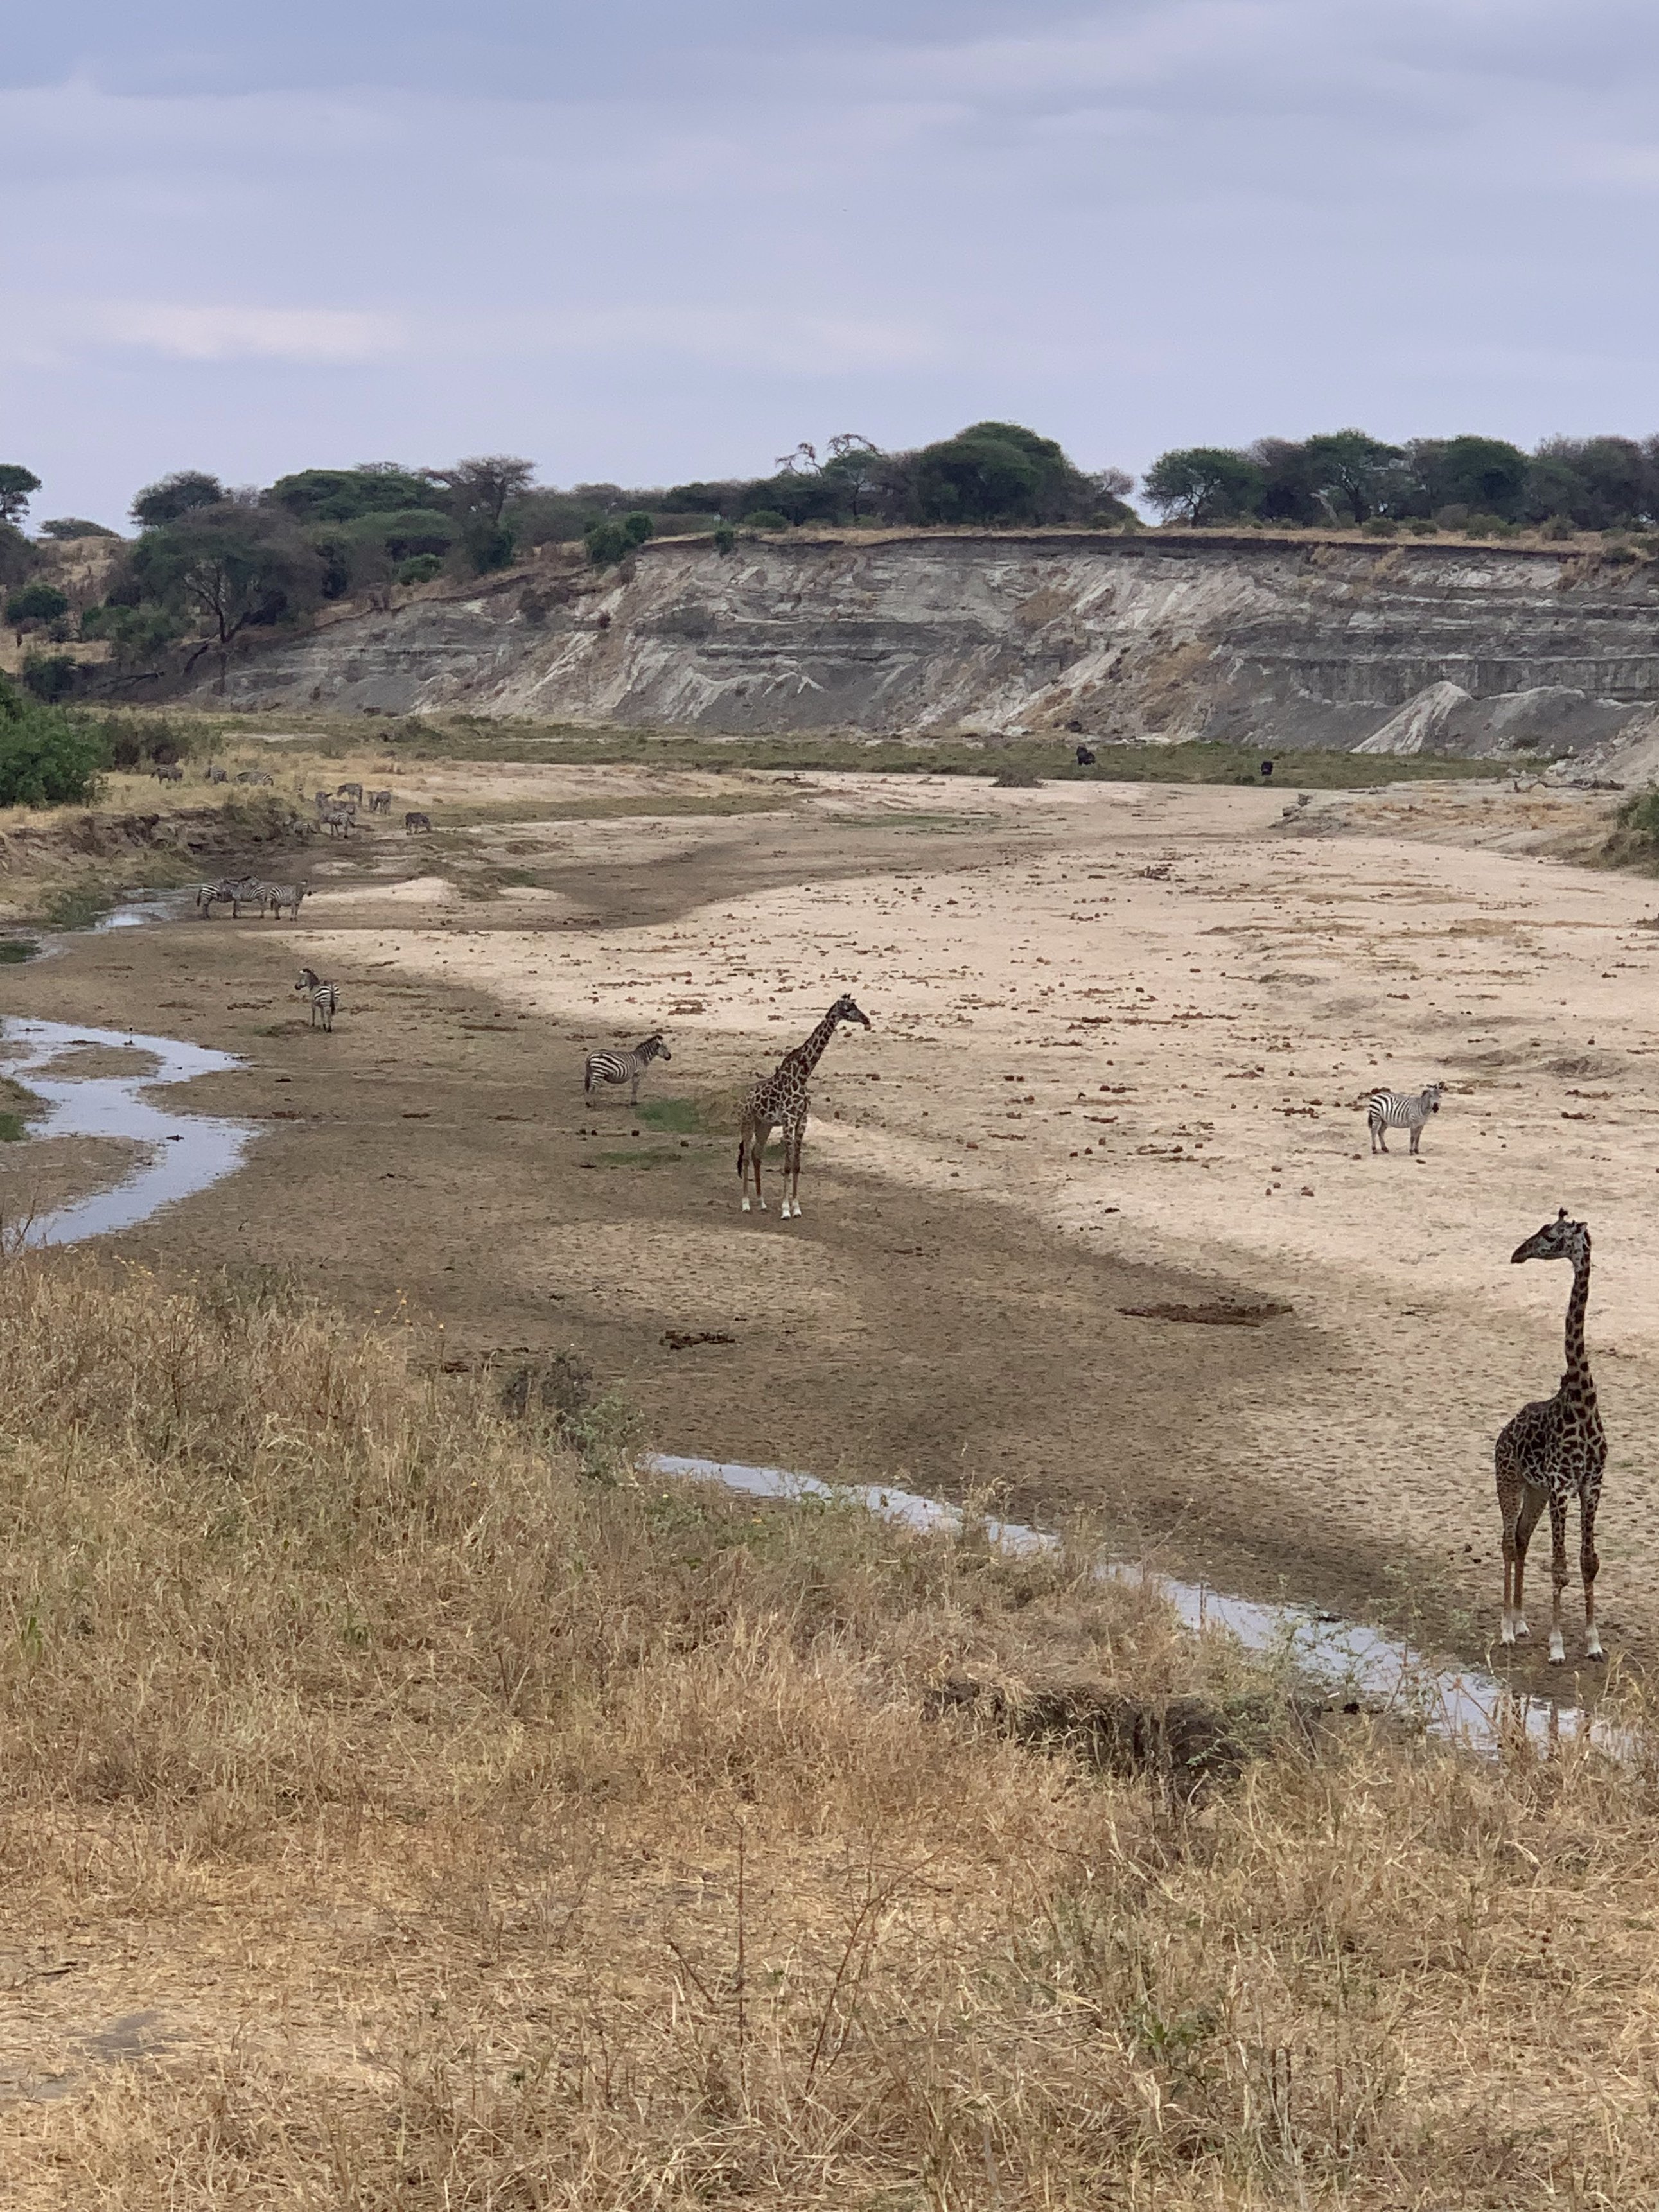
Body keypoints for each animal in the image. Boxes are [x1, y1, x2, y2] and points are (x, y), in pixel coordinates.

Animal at [584, 1032, 671, 1104]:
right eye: (665, 1047)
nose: (670, 1057)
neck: (642, 1056)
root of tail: (590, 1055)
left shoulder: (635, 1074)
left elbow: (634, 1088)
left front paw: (633, 1102)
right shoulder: (638, 1073)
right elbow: (635, 1088)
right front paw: (634, 1103)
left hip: (593, 1073)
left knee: (591, 1088)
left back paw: (591, 1102)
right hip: (599, 1072)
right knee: (592, 1088)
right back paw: (590, 1104)